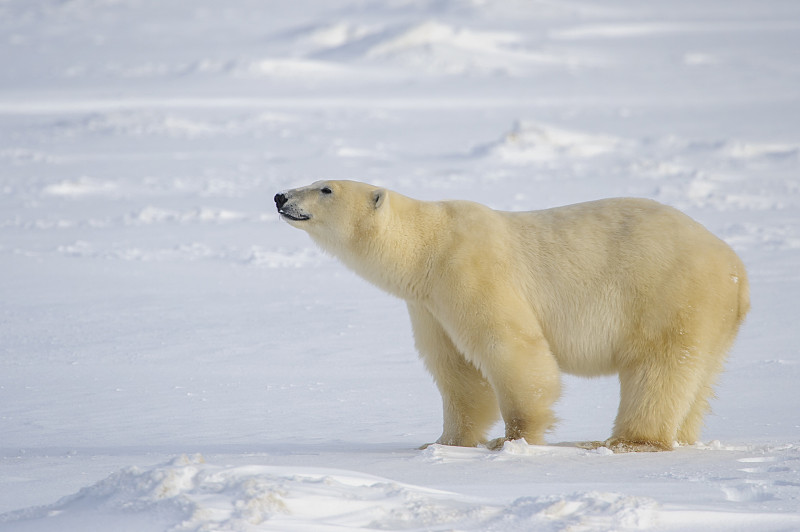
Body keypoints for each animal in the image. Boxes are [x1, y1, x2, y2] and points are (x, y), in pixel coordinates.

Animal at [276, 181, 752, 450]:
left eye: (325, 188)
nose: (280, 196)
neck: (428, 245)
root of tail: (737, 269)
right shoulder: (428, 304)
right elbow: (457, 371)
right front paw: (442, 442)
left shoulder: (469, 268)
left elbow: (508, 347)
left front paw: (512, 440)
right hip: (711, 318)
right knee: (699, 377)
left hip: (668, 294)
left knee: (658, 367)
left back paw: (627, 441)